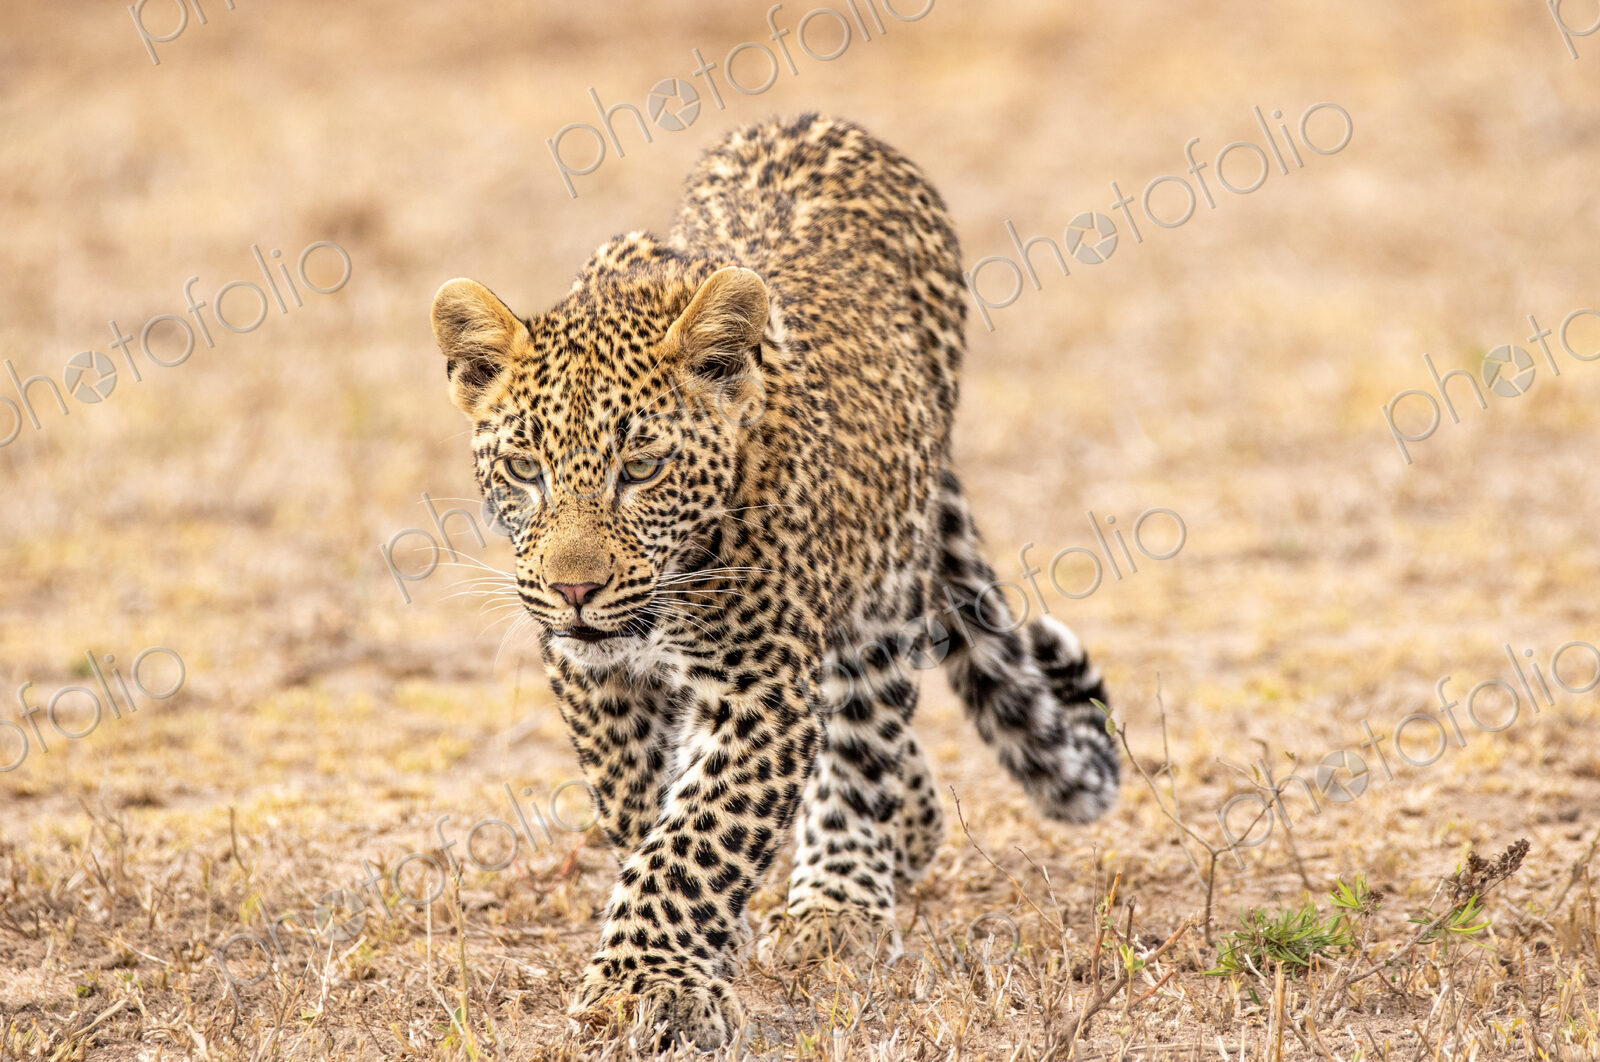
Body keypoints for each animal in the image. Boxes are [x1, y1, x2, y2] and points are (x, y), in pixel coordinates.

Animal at [429, 113, 1120, 1049]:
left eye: (640, 468)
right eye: (526, 470)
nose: (575, 592)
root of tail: (817, 119)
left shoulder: (760, 685)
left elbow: (695, 840)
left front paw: (646, 987)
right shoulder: (595, 678)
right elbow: (645, 813)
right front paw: (686, 960)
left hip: (883, 589)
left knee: (863, 732)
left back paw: (842, 900)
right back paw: (907, 827)